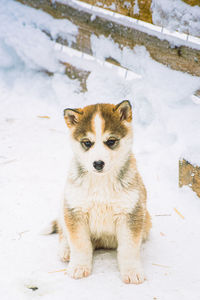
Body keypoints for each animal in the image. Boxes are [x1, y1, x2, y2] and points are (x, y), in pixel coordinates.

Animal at [55, 100, 151, 284]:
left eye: (111, 141)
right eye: (87, 143)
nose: (98, 164)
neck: (101, 182)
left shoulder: (130, 213)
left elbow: (129, 248)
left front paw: (132, 271)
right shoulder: (76, 210)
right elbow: (80, 244)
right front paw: (79, 267)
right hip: (65, 207)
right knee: (63, 233)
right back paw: (65, 250)